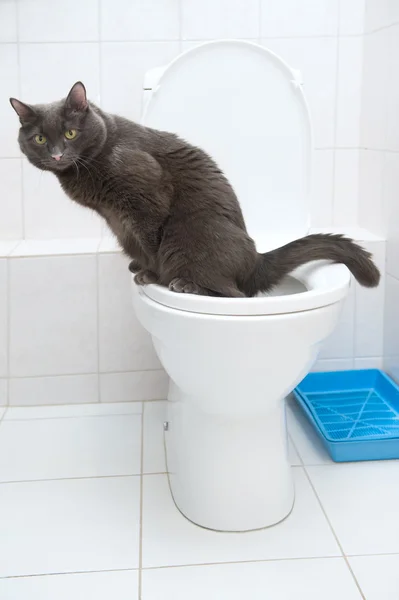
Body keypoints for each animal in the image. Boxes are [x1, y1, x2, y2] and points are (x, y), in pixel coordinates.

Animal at [10, 82, 382, 298]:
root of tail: (255, 260)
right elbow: (141, 247)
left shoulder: (148, 201)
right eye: (39, 139)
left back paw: (184, 283)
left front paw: (151, 274)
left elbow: (151, 244)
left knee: (235, 293)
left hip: (189, 233)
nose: (57, 154)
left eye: (70, 133)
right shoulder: (122, 221)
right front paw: (141, 268)